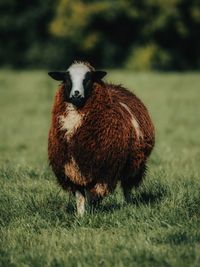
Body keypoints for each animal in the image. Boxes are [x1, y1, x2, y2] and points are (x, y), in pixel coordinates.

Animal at [48, 61, 155, 217]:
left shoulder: (106, 169)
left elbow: (94, 194)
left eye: (88, 79)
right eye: (67, 79)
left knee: (127, 186)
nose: (76, 94)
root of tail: (117, 87)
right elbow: (80, 196)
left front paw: (93, 209)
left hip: (134, 163)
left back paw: (128, 205)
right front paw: (81, 216)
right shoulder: (72, 169)